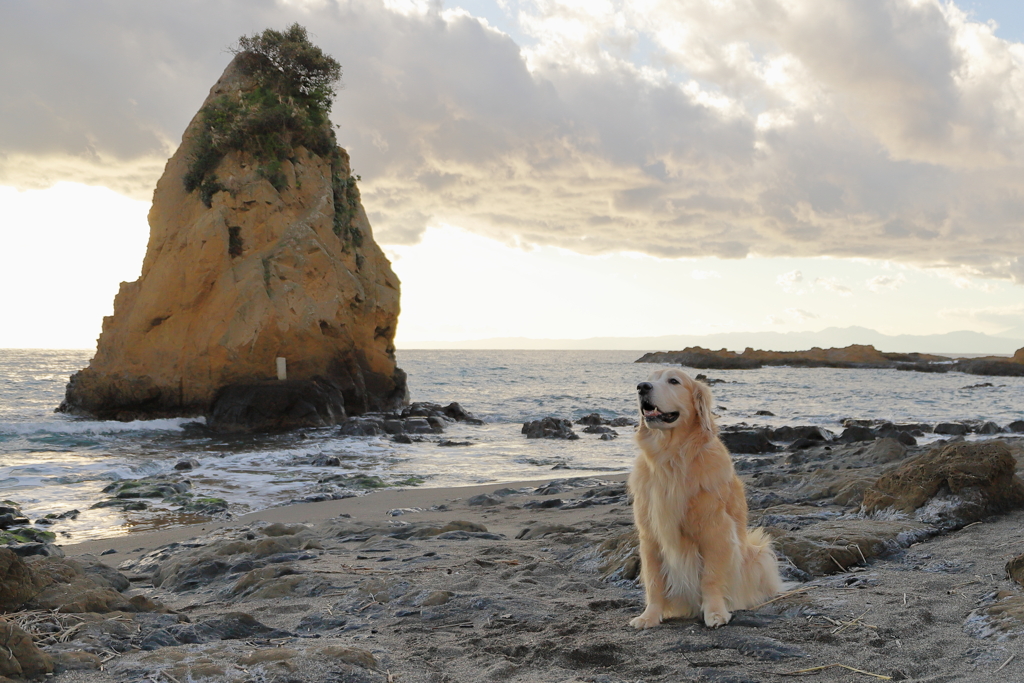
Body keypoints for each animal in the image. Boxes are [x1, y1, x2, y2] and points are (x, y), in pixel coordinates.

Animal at [626, 368, 778, 630]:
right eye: (650, 378)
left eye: (673, 381)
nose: (641, 387)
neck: (672, 458)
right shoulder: (650, 536)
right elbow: (654, 581)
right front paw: (649, 616)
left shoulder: (715, 531)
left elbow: (711, 577)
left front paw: (715, 612)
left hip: (760, 555)